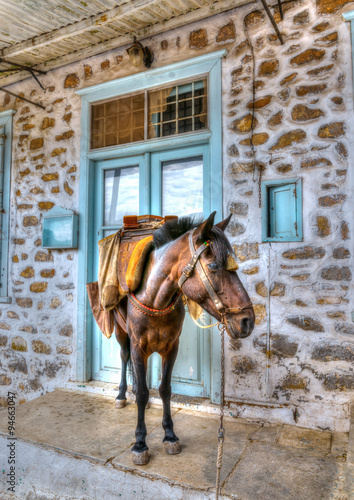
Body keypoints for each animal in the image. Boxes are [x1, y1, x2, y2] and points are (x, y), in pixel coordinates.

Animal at [112, 212, 253, 464]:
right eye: (214, 265)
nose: (248, 321)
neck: (155, 298)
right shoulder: (138, 346)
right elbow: (143, 392)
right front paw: (140, 443)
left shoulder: (171, 347)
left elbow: (165, 389)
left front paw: (169, 435)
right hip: (121, 333)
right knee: (124, 357)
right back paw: (121, 395)